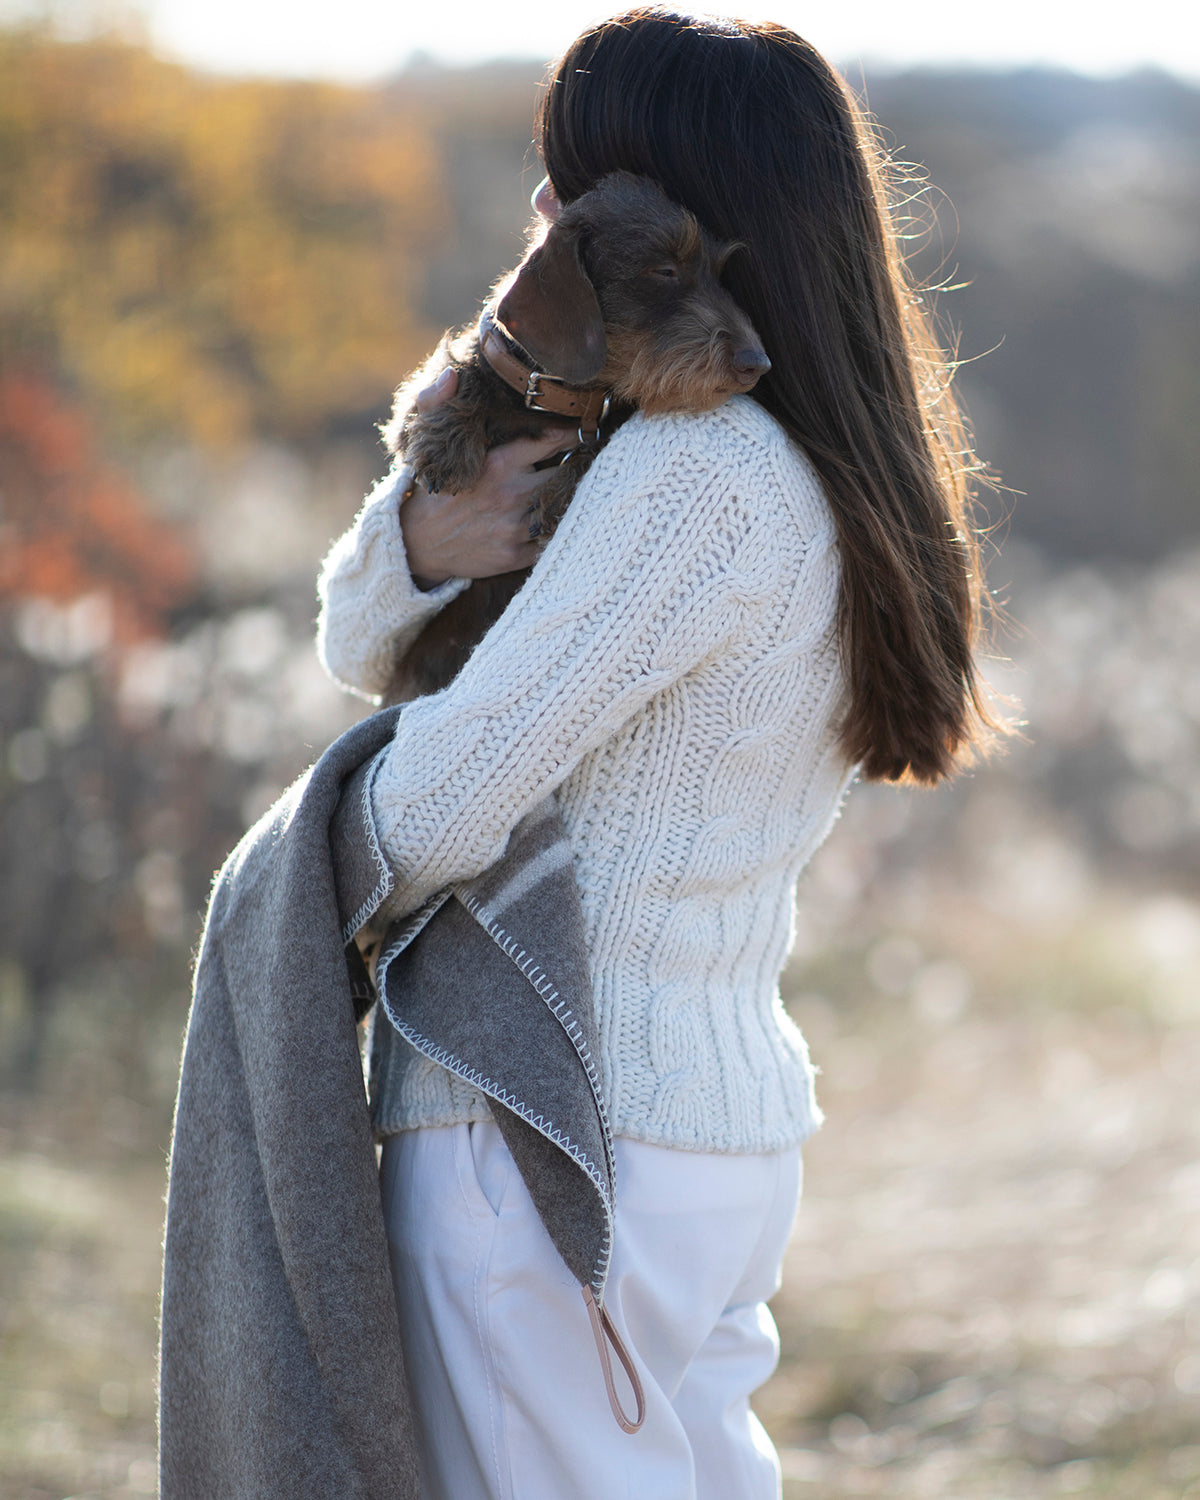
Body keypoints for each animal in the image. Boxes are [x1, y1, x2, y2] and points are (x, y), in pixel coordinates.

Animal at [382, 171, 768, 702]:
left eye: (721, 273)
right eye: (666, 270)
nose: (757, 363)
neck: (561, 399)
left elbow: (597, 440)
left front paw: (560, 494)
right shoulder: (425, 402)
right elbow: (454, 377)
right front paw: (447, 446)